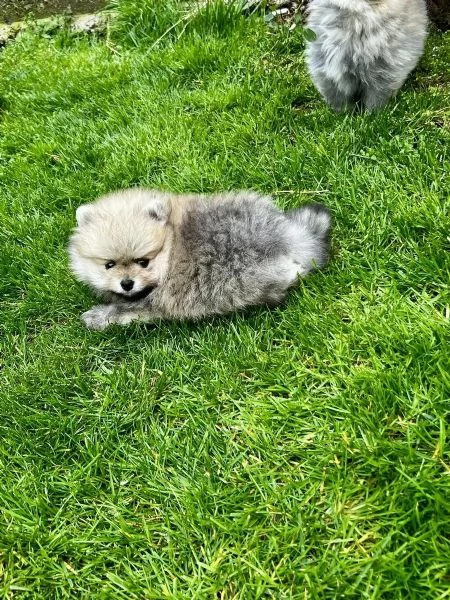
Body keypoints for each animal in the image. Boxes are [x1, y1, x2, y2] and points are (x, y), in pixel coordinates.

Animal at [70, 189, 330, 330]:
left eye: (143, 262)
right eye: (109, 265)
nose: (126, 283)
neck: (171, 244)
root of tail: (284, 237)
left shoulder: (158, 301)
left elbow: (127, 310)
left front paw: (99, 317)